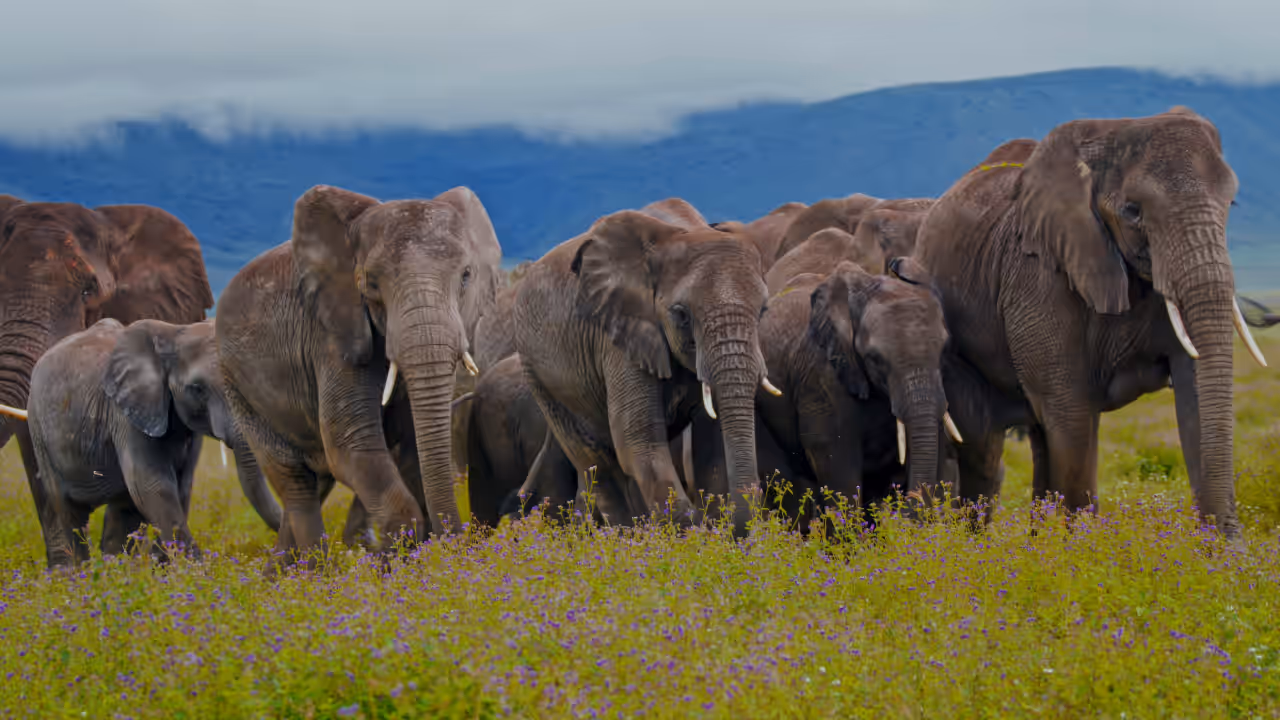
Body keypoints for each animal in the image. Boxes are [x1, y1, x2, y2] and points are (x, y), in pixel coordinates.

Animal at [25, 317, 281, 568]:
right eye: (197, 389)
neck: (176, 332)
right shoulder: (125, 413)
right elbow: (152, 484)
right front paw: (195, 571)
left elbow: (180, 485)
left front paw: (166, 569)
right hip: (38, 429)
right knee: (69, 511)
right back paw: (83, 573)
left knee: (123, 509)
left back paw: (115, 571)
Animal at [215, 184, 503, 568]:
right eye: (371, 284)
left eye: (466, 276)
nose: (457, 547)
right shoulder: (331, 335)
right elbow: (350, 443)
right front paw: (391, 567)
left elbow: (411, 445)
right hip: (237, 386)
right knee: (295, 481)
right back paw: (314, 574)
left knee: (315, 481)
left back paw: (279, 574)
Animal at [512, 198, 776, 532]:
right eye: (681, 315)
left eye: (763, 310)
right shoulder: (618, 334)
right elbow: (638, 440)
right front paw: (693, 533)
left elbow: (711, 443)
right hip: (536, 372)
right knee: (596, 460)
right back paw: (625, 535)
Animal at [910, 107, 1267, 542]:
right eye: (1133, 211)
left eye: (1231, 202)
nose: (1235, 541)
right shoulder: (1037, 274)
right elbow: (1071, 407)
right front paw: (1084, 551)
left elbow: (1194, 389)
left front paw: (1224, 556)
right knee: (984, 445)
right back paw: (974, 547)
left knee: (1039, 438)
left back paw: (1036, 544)